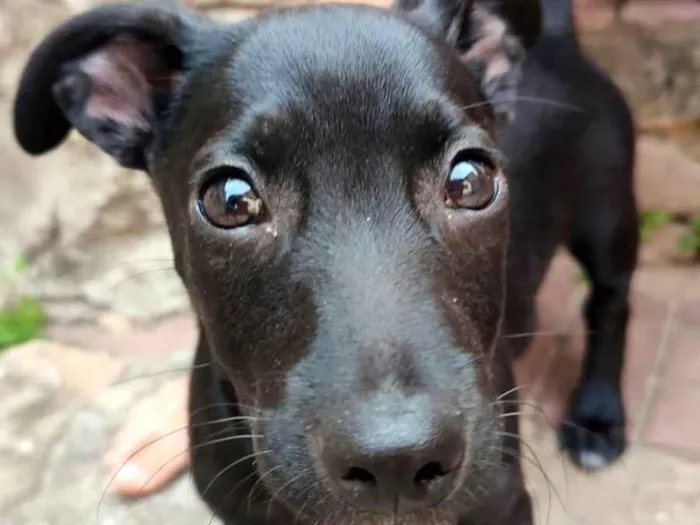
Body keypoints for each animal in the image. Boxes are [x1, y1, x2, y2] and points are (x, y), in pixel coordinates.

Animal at [13, 0, 636, 520]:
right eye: (230, 200)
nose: (397, 461)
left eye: (470, 180)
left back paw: (597, 416)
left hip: (608, 219)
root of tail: (560, 41)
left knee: (611, 305)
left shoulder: (501, 502)